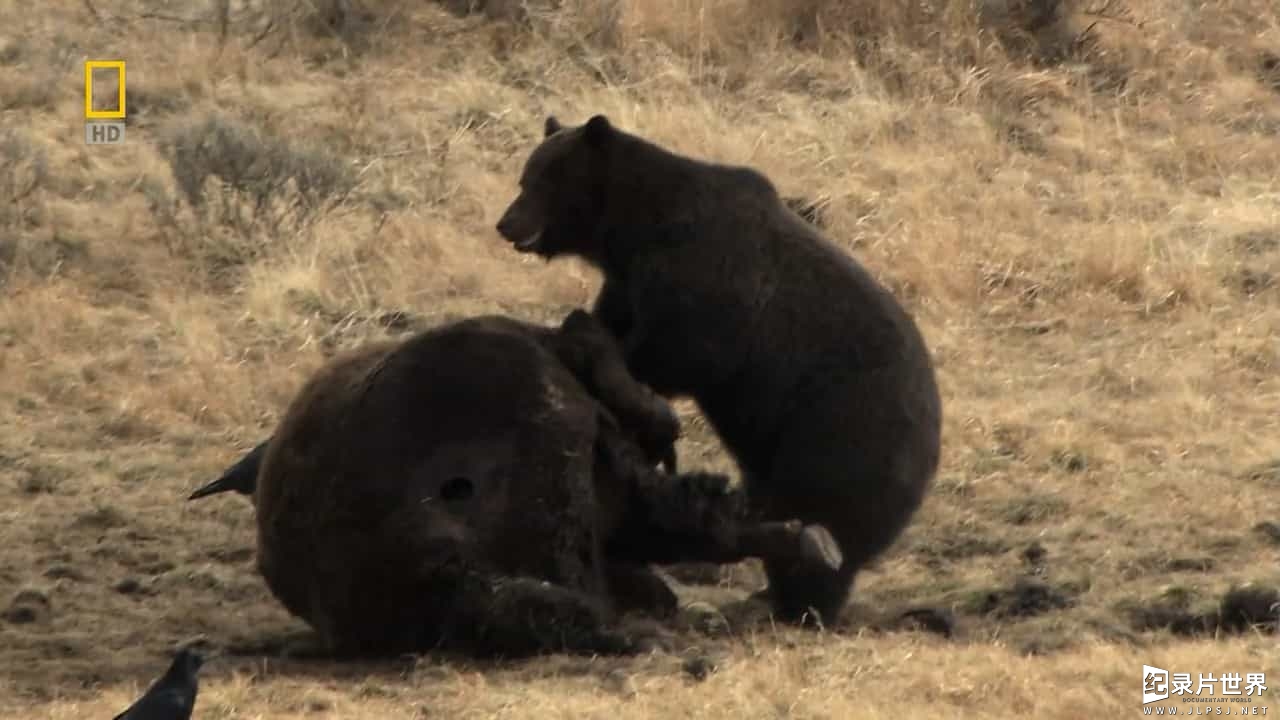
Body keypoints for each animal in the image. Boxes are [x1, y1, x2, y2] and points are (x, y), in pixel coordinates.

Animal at [494, 114, 947, 625]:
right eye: (526, 177)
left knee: (824, 523)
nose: (506, 223)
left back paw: (801, 606)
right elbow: (616, 320)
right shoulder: (629, 283)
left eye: (544, 181)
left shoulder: (711, 279)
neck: (636, 230)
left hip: (842, 437)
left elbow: (681, 351)